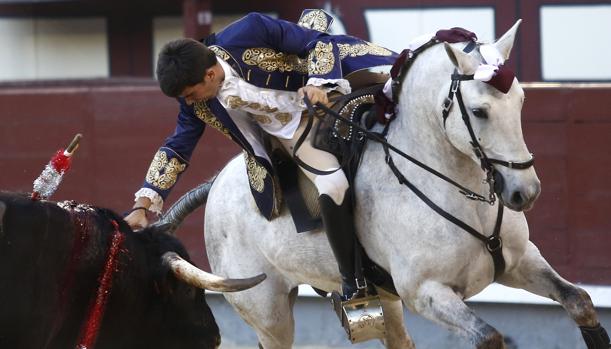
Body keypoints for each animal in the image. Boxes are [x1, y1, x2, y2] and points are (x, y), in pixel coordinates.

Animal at [161, 21, 608, 348]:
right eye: (479, 111)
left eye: (521, 101)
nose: (525, 192)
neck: (462, 193)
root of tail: (218, 183)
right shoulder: (426, 292)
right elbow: (489, 338)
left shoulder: (521, 261)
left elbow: (581, 302)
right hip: (268, 312)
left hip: (385, 304)